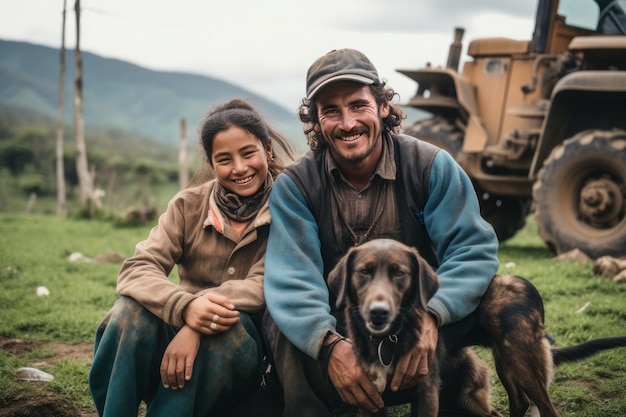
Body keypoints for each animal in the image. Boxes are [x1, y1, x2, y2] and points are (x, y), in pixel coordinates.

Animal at [324, 237, 624, 416]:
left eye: (400, 273)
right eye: (364, 272)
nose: (378, 314)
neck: (389, 339)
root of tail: (529, 288)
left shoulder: (427, 390)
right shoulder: (369, 396)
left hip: (521, 359)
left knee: (545, 408)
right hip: (504, 361)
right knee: (519, 403)